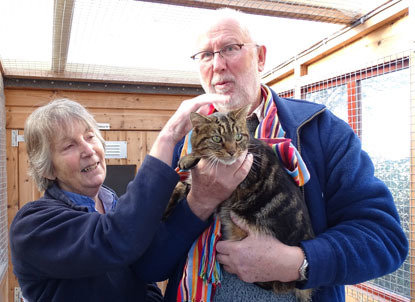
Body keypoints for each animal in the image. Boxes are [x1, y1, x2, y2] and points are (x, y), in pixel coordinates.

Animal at [166, 106, 316, 302]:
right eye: (217, 139)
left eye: (238, 137)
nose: (231, 151)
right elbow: (179, 186)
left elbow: (201, 157)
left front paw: (190, 157)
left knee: (275, 284)